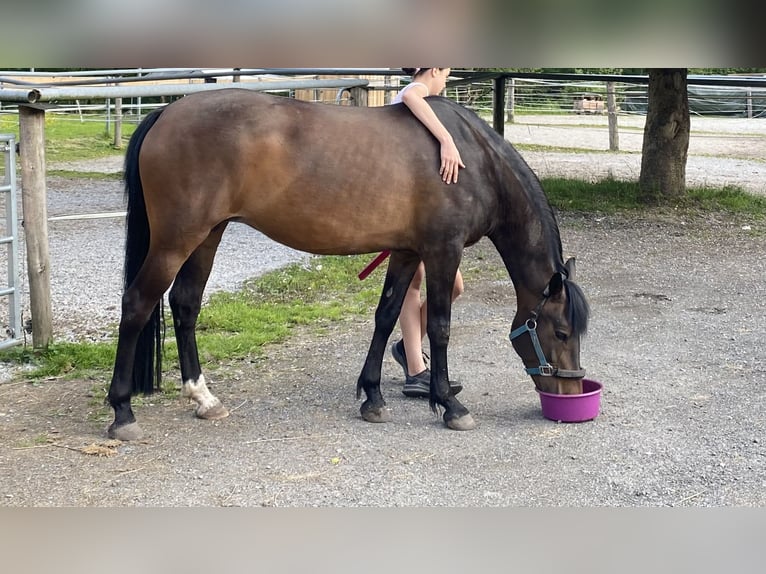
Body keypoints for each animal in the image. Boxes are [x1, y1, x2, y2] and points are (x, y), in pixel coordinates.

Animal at [106, 88, 590, 441]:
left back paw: (204, 398)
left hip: (208, 234)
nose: (570, 389)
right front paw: (450, 406)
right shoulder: (442, 252)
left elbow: (386, 316)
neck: (469, 157)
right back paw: (123, 412)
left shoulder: (406, 252)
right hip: (177, 239)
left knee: (185, 304)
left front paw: (373, 398)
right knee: (137, 305)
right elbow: (439, 327)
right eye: (562, 332)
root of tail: (166, 113)